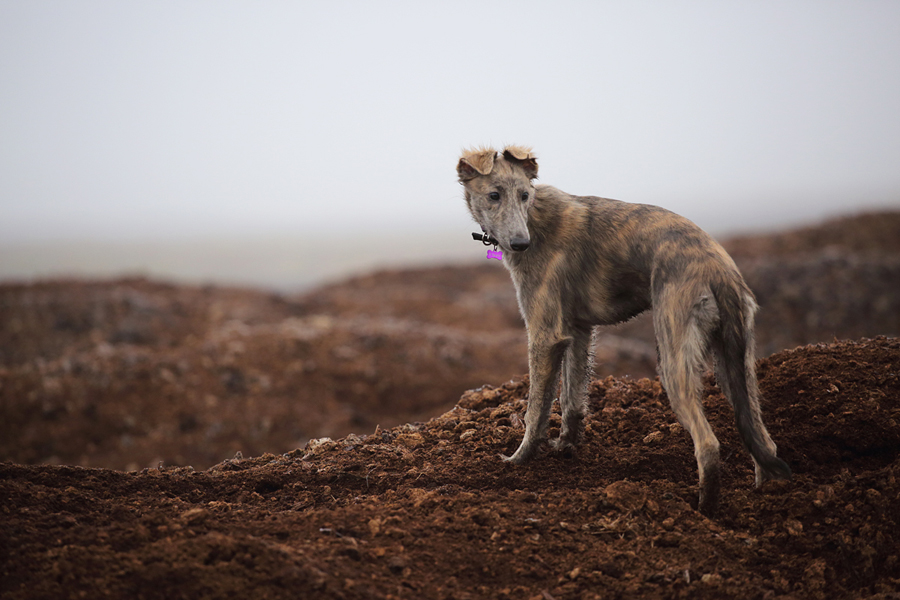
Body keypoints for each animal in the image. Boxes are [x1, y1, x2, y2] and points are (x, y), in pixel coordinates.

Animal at [458, 144, 788, 510]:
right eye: (494, 195)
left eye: (524, 195)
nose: (520, 244)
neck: (536, 218)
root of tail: (717, 269)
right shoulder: (578, 332)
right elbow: (572, 400)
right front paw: (566, 448)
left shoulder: (544, 336)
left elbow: (536, 410)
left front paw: (520, 459)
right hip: (734, 366)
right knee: (764, 441)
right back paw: (765, 497)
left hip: (673, 362)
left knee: (708, 445)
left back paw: (703, 509)